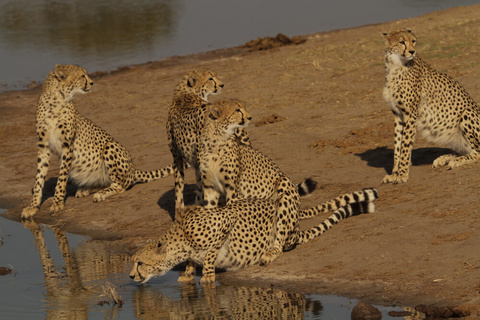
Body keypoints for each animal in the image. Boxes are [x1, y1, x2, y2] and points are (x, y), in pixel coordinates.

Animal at [23, 63, 172, 219]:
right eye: (82, 76)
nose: (92, 83)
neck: (56, 100)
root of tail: (133, 169)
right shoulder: (43, 147)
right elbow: (39, 178)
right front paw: (33, 206)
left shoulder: (67, 145)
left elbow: (61, 178)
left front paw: (57, 202)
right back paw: (86, 189)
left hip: (110, 146)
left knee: (122, 185)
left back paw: (101, 194)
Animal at [196, 100, 378, 264]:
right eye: (237, 110)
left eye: (242, 108)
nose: (249, 117)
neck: (216, 140)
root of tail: (297, 229)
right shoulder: (210, 187)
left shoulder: (232, 188)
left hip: (283, 187)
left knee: (281, 241)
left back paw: (270, 253)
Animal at [382, 30, 480, 185]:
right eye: (401, 42)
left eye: (413, 41)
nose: (412, 51)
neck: (395, 66)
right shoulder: (398, 114)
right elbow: (397, 145)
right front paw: (394, 174)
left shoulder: (410, 114)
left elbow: (405, 146)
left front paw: (402, 174)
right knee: (467, 149)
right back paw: (444, 158)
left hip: (466, 113)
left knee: (477, 152)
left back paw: (457, 161)